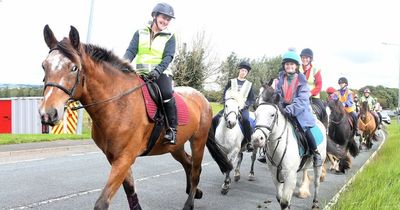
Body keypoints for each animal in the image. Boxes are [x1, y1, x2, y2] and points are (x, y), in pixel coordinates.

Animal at [38, 25, 231, 210]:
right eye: (44, 66)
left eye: (74, 68)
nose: (48, 113)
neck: (117, 103)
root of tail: (203, 99)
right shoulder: (115, 158)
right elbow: (130, 191)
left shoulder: (125, 157)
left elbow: (102, 203)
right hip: (175, 147)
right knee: (189, 164)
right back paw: (195, 191)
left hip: (198, 141)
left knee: (196, 170)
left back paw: (189, 202)